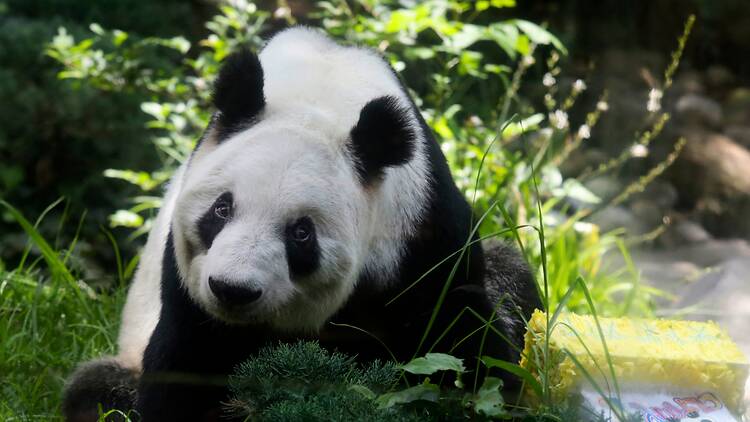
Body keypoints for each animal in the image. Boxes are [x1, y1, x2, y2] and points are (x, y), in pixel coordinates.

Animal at [62, 27, 541, 421]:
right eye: (221, 209)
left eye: (301, 232)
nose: (233, 290)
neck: (318, 98)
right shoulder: (187, 282)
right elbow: (186, 361)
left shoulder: (420, 231)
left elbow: (461, 333)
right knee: (97, 391)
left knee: (509, 272)